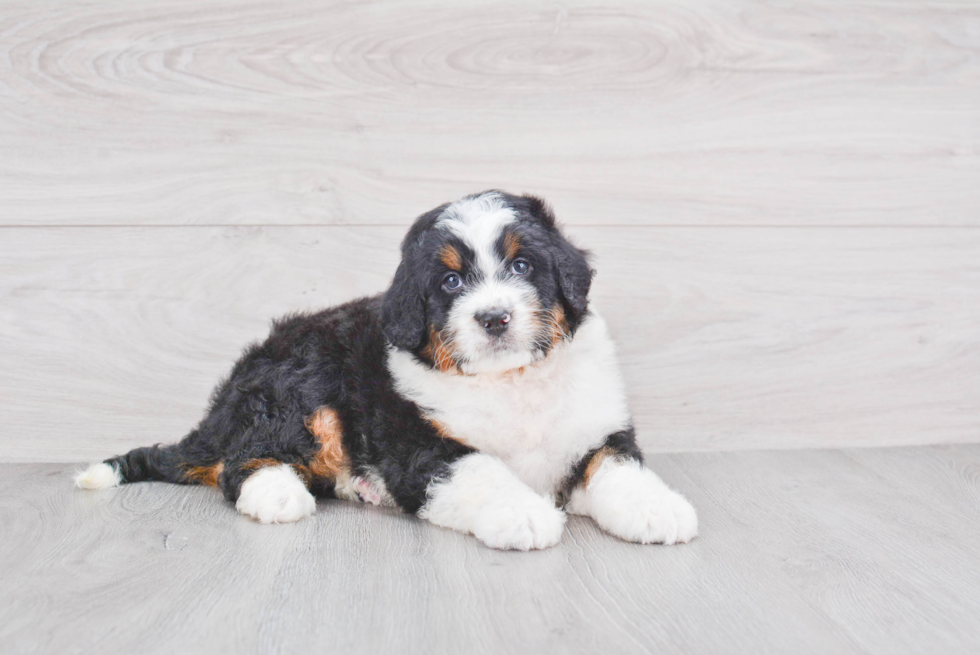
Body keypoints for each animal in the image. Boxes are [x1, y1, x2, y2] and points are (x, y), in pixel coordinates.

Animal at [76, 192, 700, 552]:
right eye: (450, 281)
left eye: (523, 265)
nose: (494, 317)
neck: (510, 381)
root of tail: (226, 399)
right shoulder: (422, 446)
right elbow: (480, 470)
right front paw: (523, 515)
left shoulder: (593, 426)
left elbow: (616, 465)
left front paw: (657, 509)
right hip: (300, 384)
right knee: (242, 460)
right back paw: (276, 494)